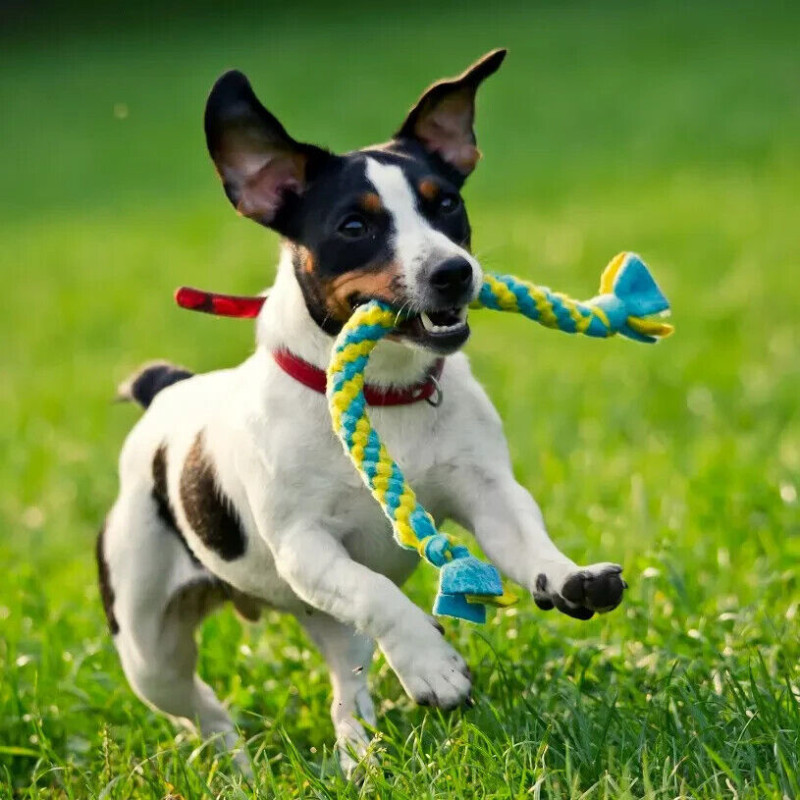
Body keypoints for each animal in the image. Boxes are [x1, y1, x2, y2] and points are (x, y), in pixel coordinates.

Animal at [98, 51, 624, 776]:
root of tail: (165, 391)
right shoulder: (305, 546)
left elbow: (525, 541)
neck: (386, 394)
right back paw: (240, 766)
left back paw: (359, 756)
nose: (454, 272)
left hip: (322, 621)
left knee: (346, 685)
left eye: (447, 203)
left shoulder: (489, 494)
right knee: (203, 711)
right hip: (151, 647)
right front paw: (433, 666)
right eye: (354, 226)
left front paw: (570, 578)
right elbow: (381, 595)